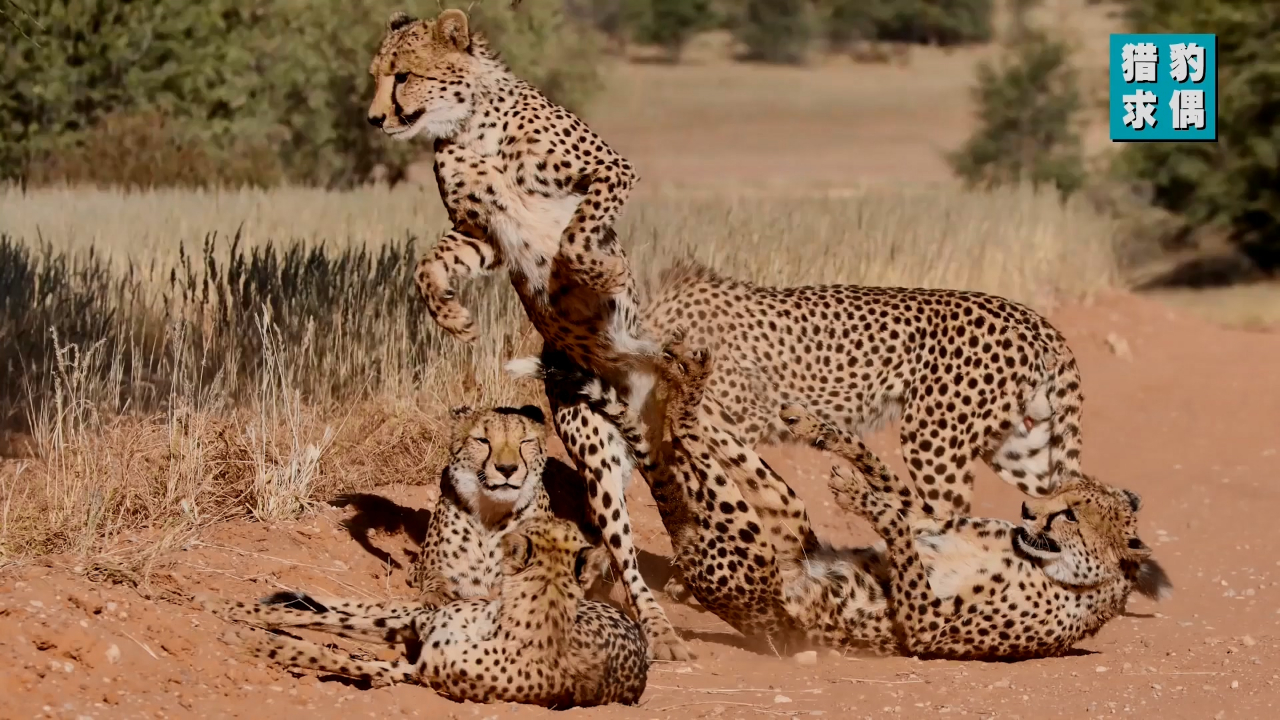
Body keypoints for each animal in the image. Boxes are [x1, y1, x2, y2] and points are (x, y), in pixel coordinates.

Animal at [204, 515, 655, 707]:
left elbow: (330, 651)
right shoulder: (420, 625)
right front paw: (226, 606)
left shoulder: (411, 672)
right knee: (354, 605)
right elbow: (326, 619)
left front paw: (251, 637)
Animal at [778, 404, 1172, 655]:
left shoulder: (928, 624)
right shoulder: (929, 521)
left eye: (1071, 516)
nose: (1026, 509)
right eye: (1057, 491)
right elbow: (879, 469)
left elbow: (896, 524)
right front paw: (813, 426)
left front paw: (857, 494)